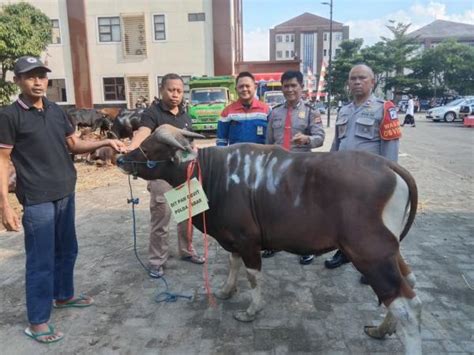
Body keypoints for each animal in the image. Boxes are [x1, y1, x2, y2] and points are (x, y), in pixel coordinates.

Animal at [117, 124, 422, 354]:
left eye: (152, 148)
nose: (121, 159)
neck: (214, 176)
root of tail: (389, 167)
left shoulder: (248, 240)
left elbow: (253, 276)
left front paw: (251, 310)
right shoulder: (233, 238)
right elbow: (233, 264)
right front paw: (226, 291)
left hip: (370, 254)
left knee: (405, 304)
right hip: (389, 251)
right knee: (409, 287)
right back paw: (381, 329)